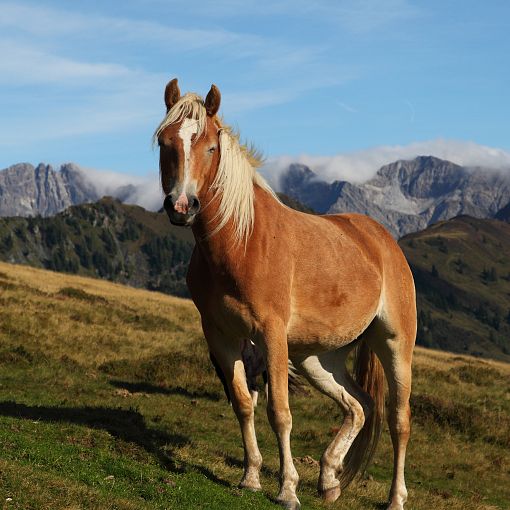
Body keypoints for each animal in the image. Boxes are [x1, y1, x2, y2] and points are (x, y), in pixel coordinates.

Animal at [156, 77, 418, 508]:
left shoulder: (271, 335)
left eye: (210, 146)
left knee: (399, 419)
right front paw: (251, 477)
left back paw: (395, 497)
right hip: (318, 358)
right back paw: (328, 479)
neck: (242, 242)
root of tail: (382, 240)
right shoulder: (220, 335)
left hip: (393, 343)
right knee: (358, 407)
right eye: (165, 143)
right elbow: (243, 403)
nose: (181, 205)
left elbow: (280, 411)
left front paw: (287, 489)